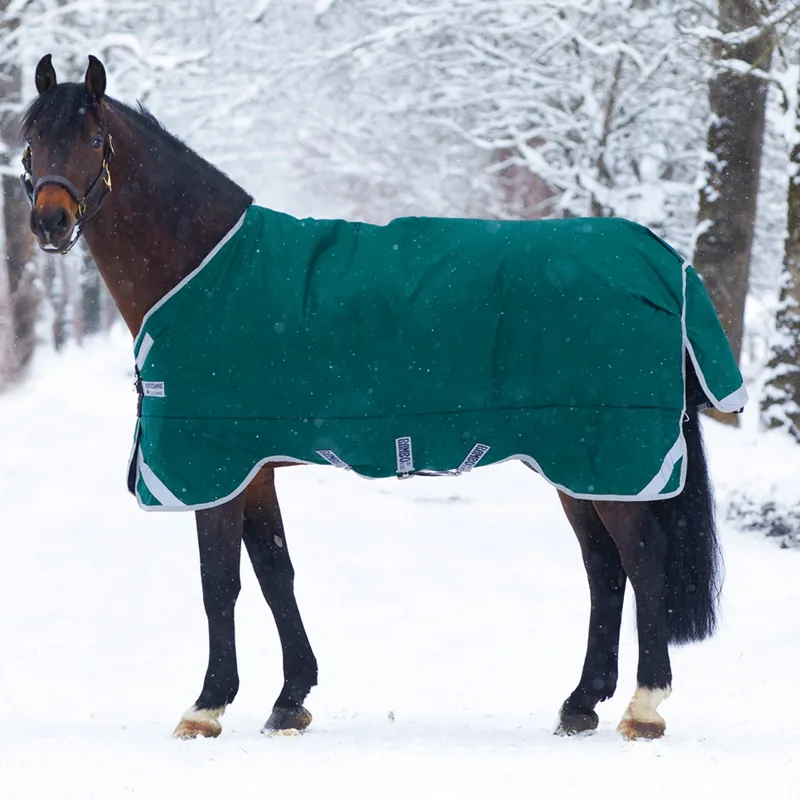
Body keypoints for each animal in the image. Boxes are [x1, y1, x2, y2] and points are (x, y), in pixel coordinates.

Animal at [20, 54, 740, 741]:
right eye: (28, 141)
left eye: (92, 139)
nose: (50, 223)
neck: (202, 267)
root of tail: (658, 259)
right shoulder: (253, 468)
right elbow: (275, 573)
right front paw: (290, 699)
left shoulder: (212, 466)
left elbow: (219, 584)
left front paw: (207, 705)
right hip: (578, 467)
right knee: (604, 570)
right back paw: (581, 703)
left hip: (606, 458)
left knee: (642, 561)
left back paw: (644, 707)